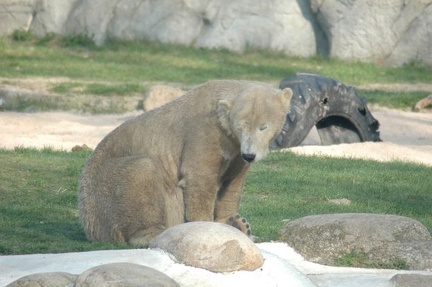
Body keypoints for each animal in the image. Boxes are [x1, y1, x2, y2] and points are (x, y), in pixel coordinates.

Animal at [79, 80, 292, 246]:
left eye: (263, 127)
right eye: (241, 126)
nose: (250, 155)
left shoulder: (235, 150)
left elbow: (233, 182)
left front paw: (236, 222)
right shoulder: (205, 133)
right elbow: (199, 178)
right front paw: (206, 226)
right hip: (103, 187)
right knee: (141, 171)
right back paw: (154, 233)